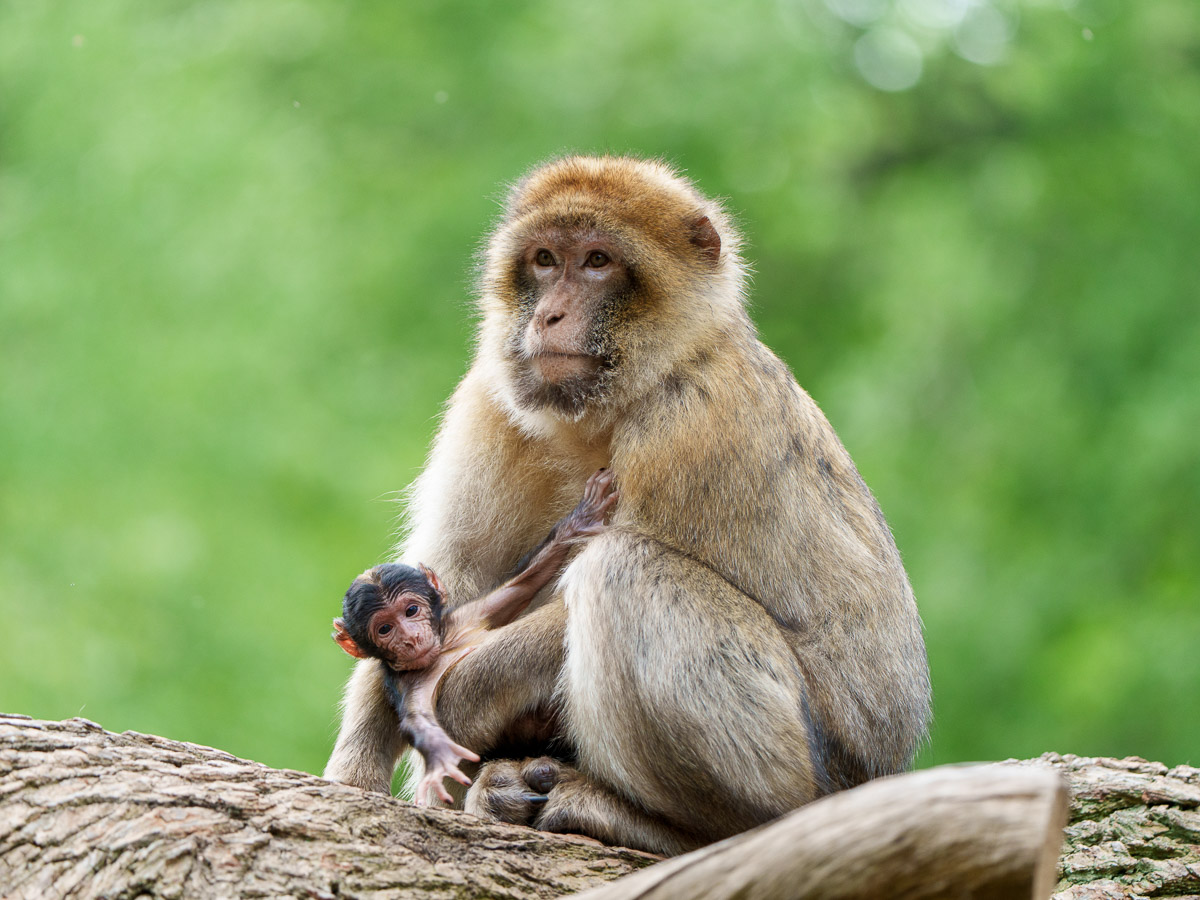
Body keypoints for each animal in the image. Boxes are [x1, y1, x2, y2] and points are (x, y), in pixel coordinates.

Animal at [330, 468, 618, 805]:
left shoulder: (466, 618)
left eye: (411, 610)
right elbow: (421, 723)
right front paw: (442, 759)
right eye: (385, 629)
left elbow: (520, 587)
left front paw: (581, 519)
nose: (410, 638)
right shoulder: (408, 684)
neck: (443, 649)